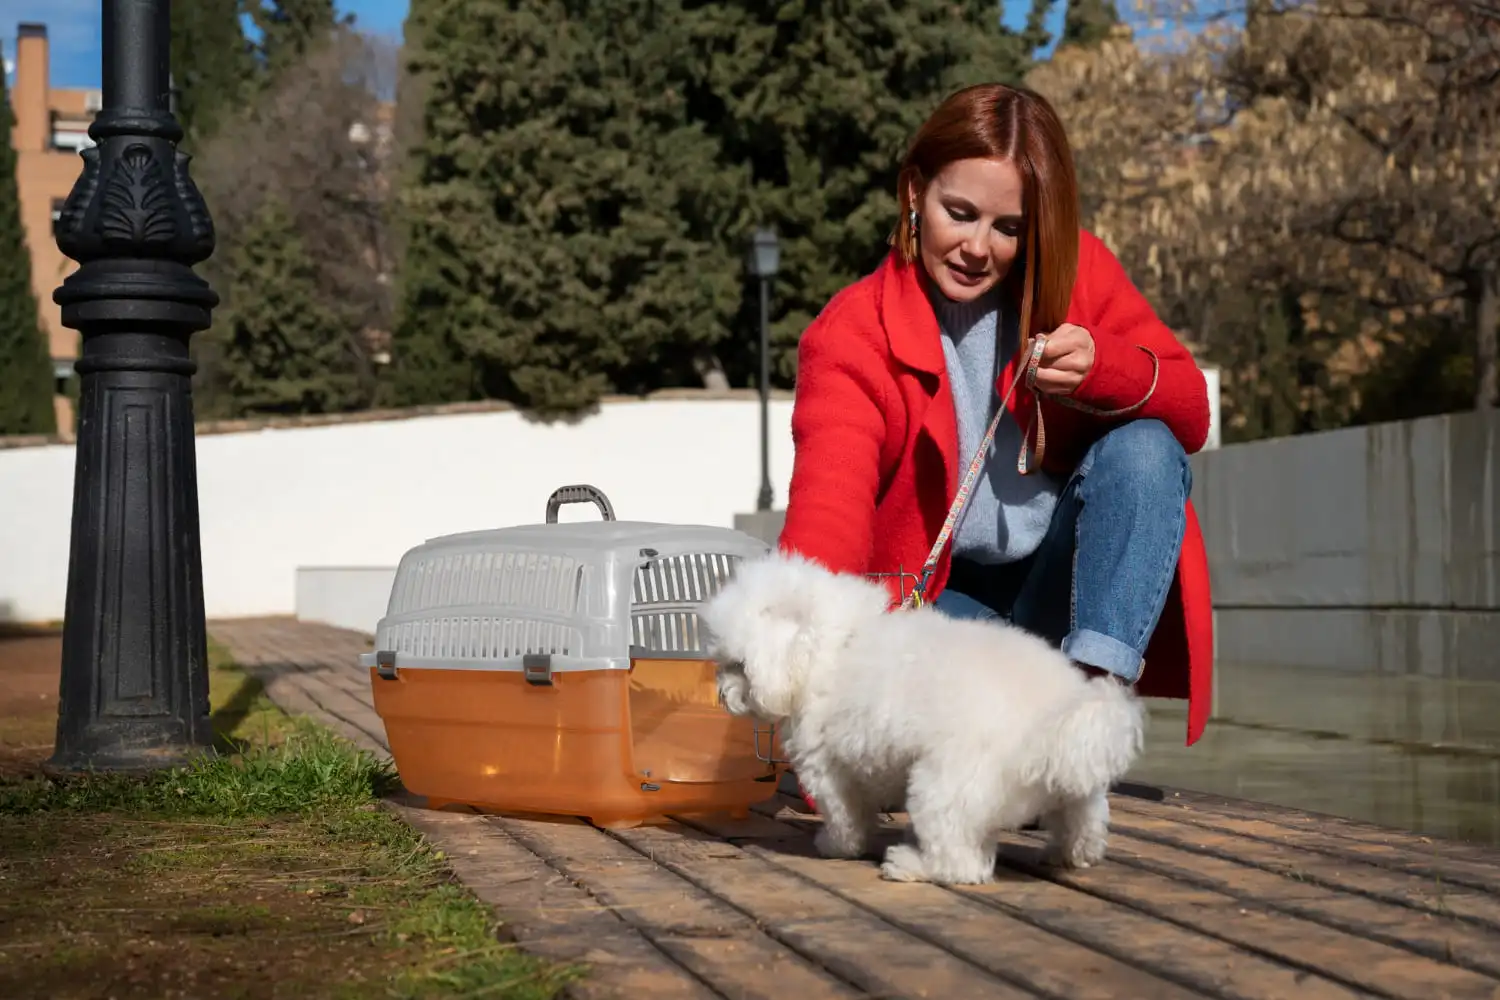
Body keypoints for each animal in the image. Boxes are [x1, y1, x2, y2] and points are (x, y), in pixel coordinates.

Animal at [702, 551, 1146, 887]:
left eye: (738, 666)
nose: (722, 694)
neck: (833, 644)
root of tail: (1053, 714)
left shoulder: (828, 770)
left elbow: (845, 816)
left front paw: (835, 845)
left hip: (943, 789)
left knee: (961, 864)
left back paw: (908, 864)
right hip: (1072, 783)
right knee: (1084, 818)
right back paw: (1069, 854)